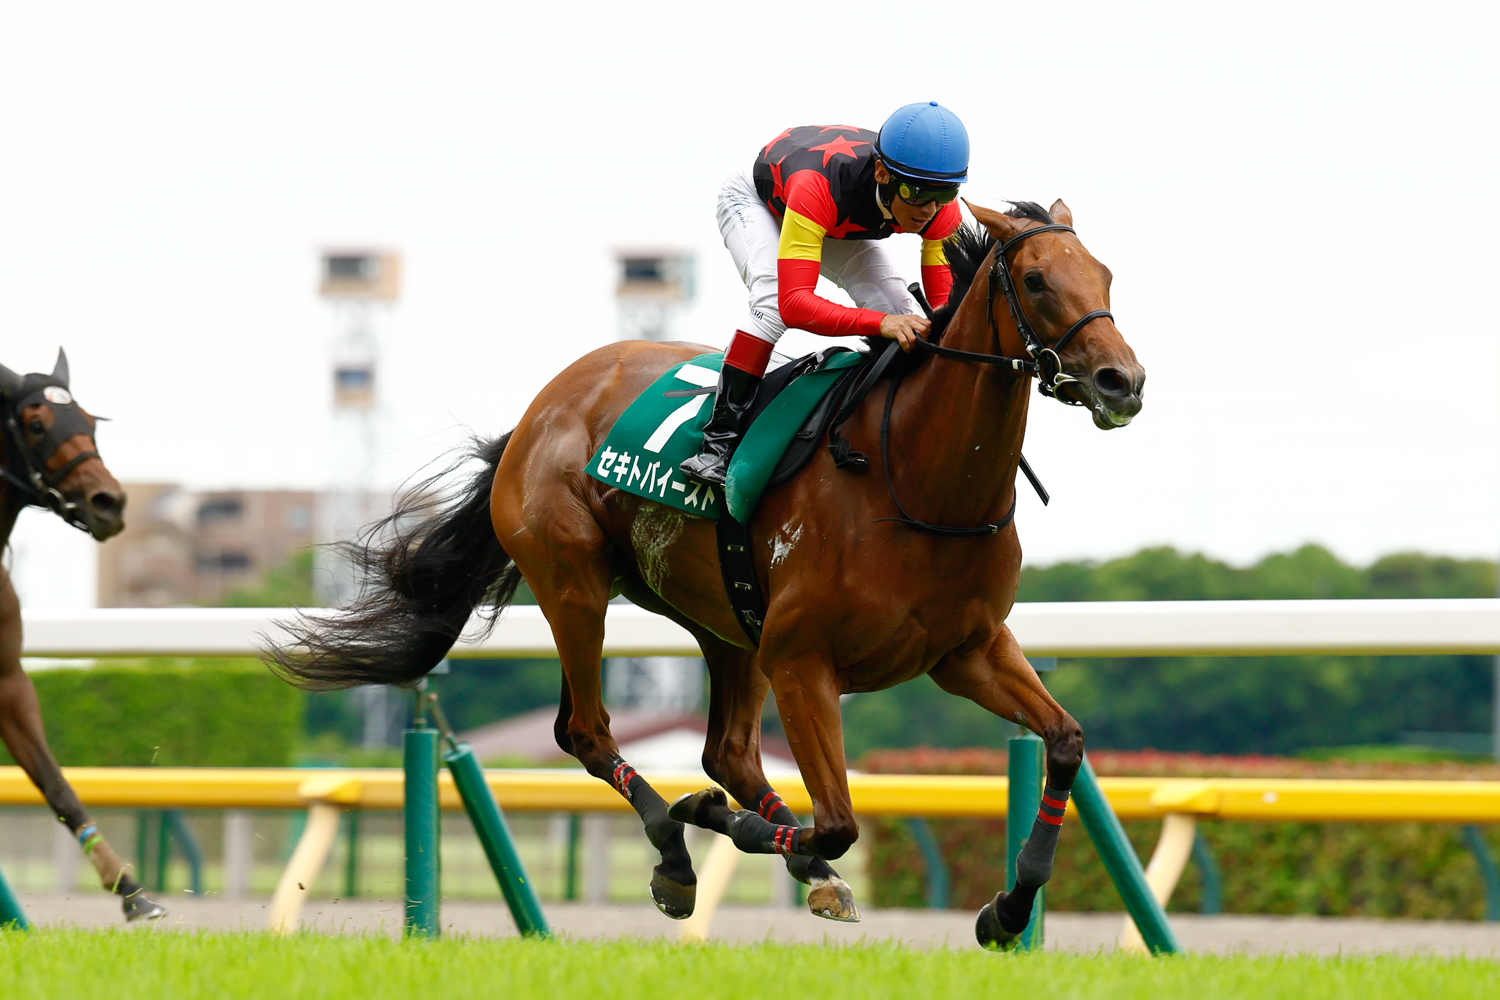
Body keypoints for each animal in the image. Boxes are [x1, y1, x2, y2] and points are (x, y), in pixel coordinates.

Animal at [0, 350, 166, 922]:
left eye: (91, 423)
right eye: (35, 423)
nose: (108, 502)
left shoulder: (10, 682)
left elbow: (57, 785)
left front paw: (133, 892)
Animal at [269, 199, 1144, 948]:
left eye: (1104, 275)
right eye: (1037, 280)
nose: (1122, 381)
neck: (914, 478)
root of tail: (540, 409)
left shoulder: (969, 651)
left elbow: (1065, 742)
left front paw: (1009, 907)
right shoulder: (803, 659)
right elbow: (839, 821)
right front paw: (737, 828)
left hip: (728, 622)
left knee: (726, 751)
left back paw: (791, 863)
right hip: (574, 582)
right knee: (589, 731)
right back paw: (678, 850)